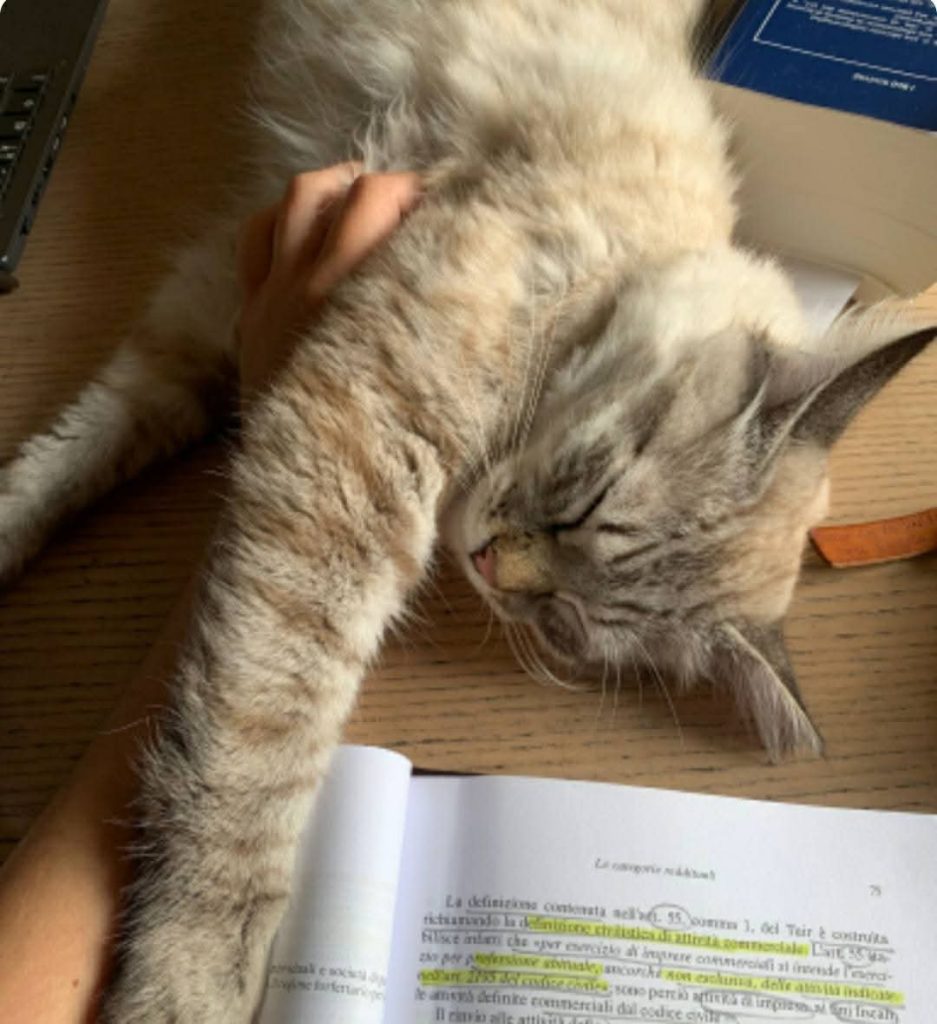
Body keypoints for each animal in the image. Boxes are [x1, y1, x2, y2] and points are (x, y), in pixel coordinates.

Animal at [1, 1, 934, 1020]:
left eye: (565, 623)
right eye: (582, 499)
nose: (487, 566)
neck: (627, 260)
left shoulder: (227, 309)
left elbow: (86, 446)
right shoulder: (355, 430)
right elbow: (256, 749)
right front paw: (185, 987)